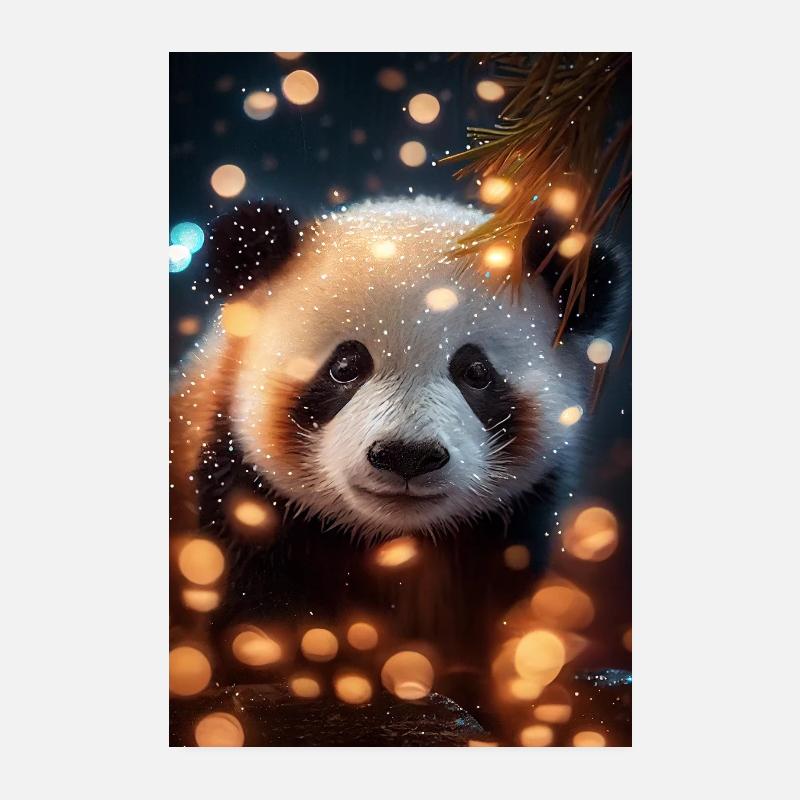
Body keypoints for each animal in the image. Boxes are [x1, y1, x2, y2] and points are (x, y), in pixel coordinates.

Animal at [170, 195, 626, 720]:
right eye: (346, 367)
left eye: (476, 372)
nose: (407, 456)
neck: (390, 540)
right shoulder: (239, 493)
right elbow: (257, 615)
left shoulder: (501, 529)